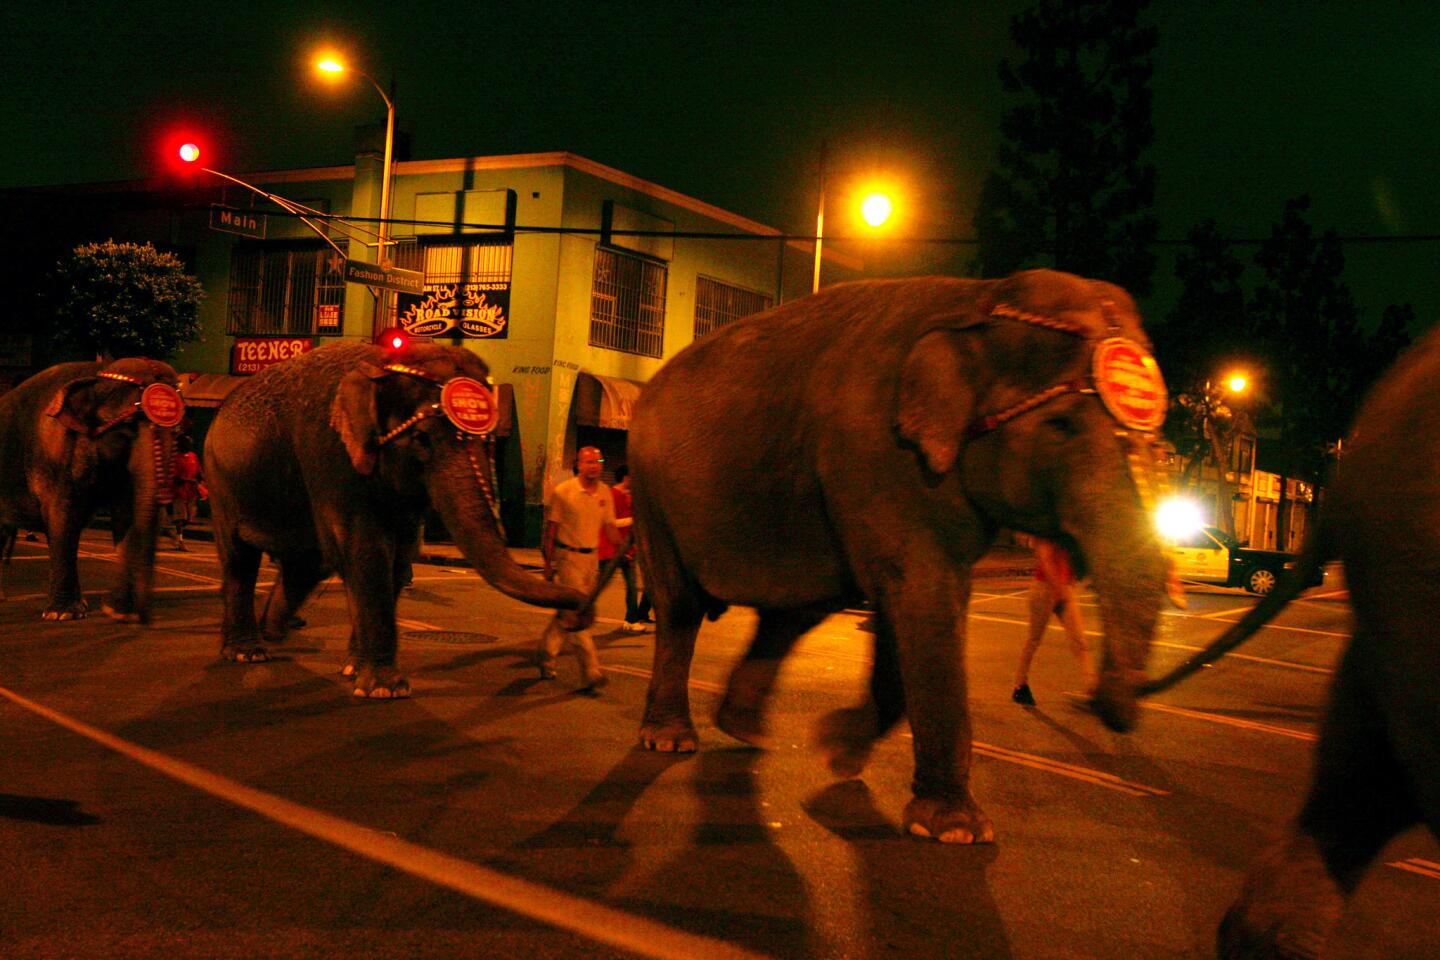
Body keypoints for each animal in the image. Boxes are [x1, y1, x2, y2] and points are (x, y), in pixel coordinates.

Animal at [0, 355, 185, 624]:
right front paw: (63, 614)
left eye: (179, 432)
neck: (99, 373)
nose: (144, 620)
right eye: (128, 427)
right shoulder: (56, 455)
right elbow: (63, 515)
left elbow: (127, 513)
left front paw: (119, 612)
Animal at [203, 343, 584, 699]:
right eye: (422, 438)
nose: (581, 608)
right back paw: (248, 653)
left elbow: (399, 560)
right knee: (240, 559)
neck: (380, 364)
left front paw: (356, 671)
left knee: (309, 561)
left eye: (488, 440)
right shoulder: (328, 453)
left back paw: (275, 630)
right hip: (220, 482)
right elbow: (367, 552)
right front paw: (386, 690)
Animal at [627, 273, 1169, 846]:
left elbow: (911, 607)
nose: (1093, 701)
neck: (980, 299)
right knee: (681, 607)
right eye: (1061, 426)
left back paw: (743, 727)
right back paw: (670, 740)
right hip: (649, 487)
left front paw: (838, 751)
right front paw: (954, 831)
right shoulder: (877, 453)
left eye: (1158, 439)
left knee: (794, 613)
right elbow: (920, 593)